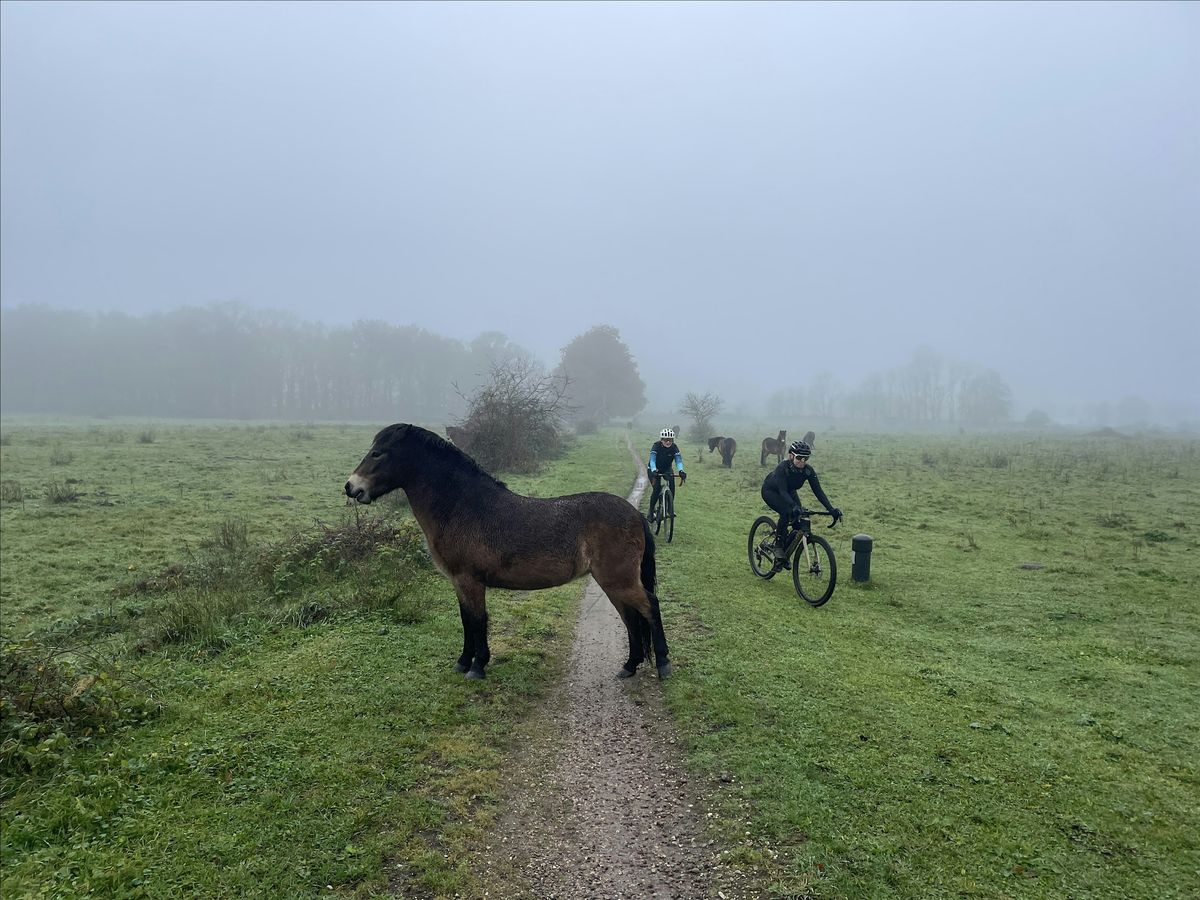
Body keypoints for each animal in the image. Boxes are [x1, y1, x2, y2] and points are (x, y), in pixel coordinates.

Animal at [343, 427, 672, 681]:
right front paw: (463, 662)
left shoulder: (470, 581)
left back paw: (664, 665)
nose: (351, 487)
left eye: (378, 453)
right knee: (631, 617)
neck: (461, 507)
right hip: (612, 583)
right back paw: (629, 666)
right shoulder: (460, 583)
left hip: (619, 580)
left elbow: (478, 621)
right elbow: (466, 620)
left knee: (650, 607)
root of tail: (634, 514)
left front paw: (477, 666)